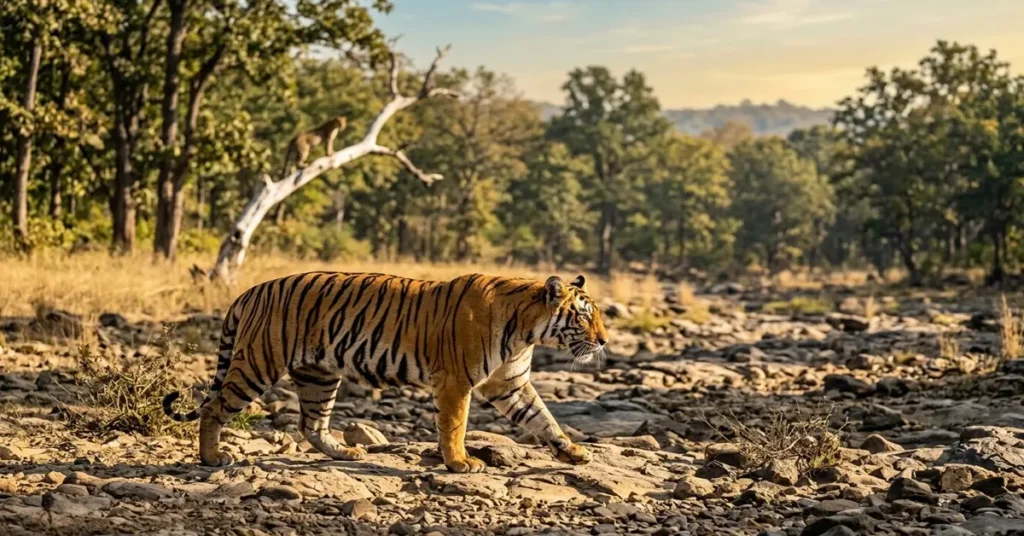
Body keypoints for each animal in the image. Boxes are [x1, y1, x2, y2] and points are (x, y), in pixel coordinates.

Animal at [163, 272, 608, 473]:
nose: (604, 341)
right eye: (584, 317)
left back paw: (346, 452)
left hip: (319, 374)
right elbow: (455, 425)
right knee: (214, 407)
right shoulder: (455, 381)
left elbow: (544, 419)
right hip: (259, 362)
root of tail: (250, 291)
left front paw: (572, 451)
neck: (528, 331)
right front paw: (459, 462)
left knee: (312, 425)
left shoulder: (510, 383)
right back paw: (212, 457)